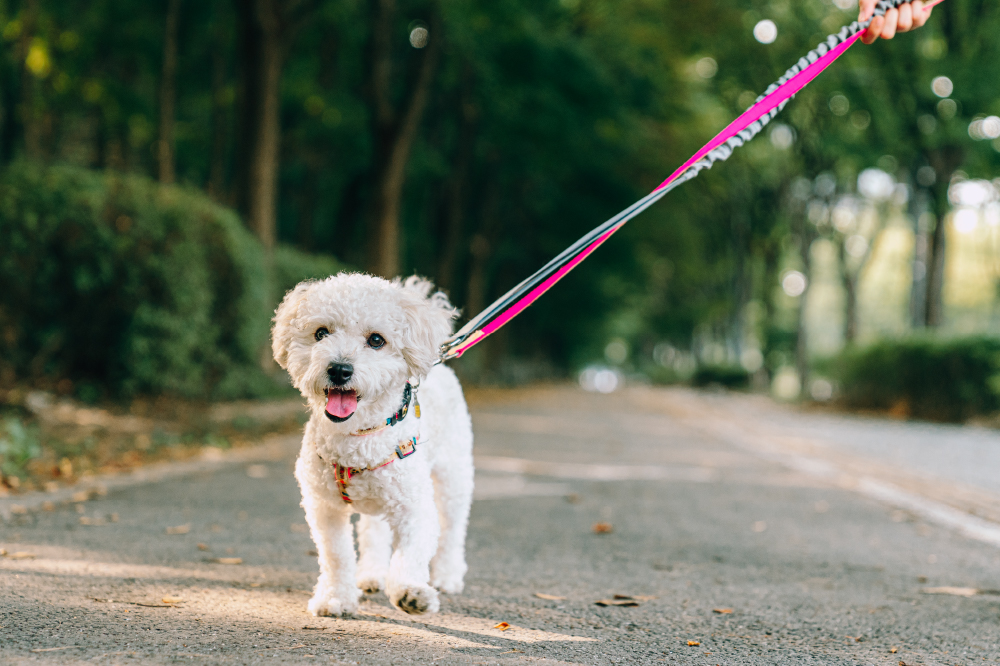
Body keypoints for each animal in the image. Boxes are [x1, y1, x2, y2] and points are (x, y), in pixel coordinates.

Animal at [272, 272, 474, 616]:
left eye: (376, 340)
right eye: (321, 333)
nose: (339, 369)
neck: (358, 437)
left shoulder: (415, 507)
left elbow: (410, 556)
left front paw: (410, 592)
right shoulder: (324, 508)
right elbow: (337, 556)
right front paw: (336, 597)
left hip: (453, 476)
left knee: (453, 529)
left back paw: (447, 576)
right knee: (373, 531)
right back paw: (371, 575)